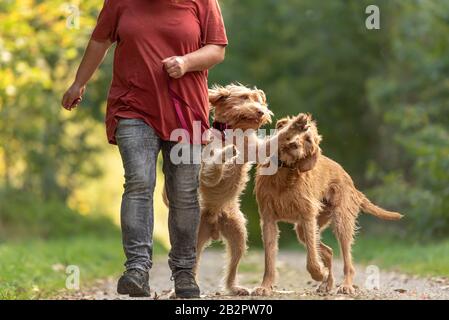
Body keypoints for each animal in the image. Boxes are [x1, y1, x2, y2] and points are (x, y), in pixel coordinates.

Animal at [252, 114, 402, 296]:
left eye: (308, 140)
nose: (294, 144)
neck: (284, 173)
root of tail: (351, 183)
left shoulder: (307, 217)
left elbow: (312, 258)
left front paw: (318, 273)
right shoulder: (268, 219)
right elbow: (269, 260)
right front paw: (265, 286)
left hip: (341, 223)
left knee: (346, 261)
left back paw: (345, 285)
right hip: (303, 229)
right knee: (329, 251)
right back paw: (327, 284)